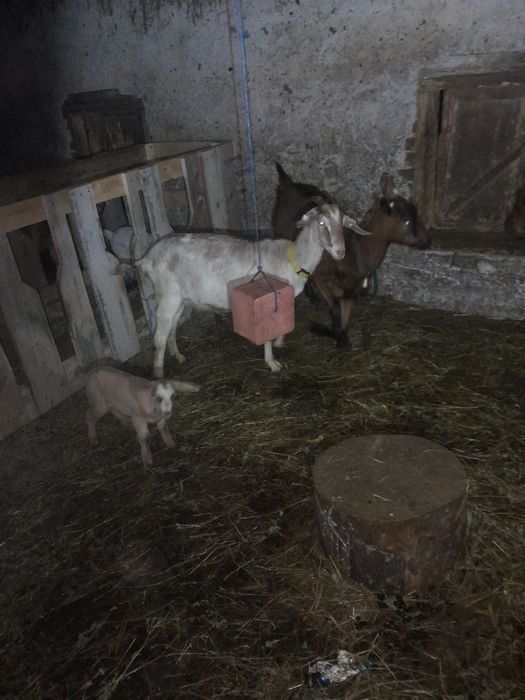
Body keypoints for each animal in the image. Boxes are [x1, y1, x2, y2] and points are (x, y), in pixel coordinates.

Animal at [128, 202, 368, 377]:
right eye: (321, 222)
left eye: (343, 224)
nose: (340, 252)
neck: (291, 259)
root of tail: (147, 257)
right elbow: (267, 334)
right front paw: (272, 363)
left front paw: (279, 342)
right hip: (167, 294)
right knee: (158, 338)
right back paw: (159, 377)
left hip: (180, 298)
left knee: (172, 328)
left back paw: (178, 356)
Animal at [271, 163, 430, 348]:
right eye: (407, 221)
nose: (428, 241)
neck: (352, 252)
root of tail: (287, 184)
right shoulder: (322, 278)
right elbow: (334, 309)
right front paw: (332, 334)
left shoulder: (351, 289)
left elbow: (345, 314)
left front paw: (342, 337)